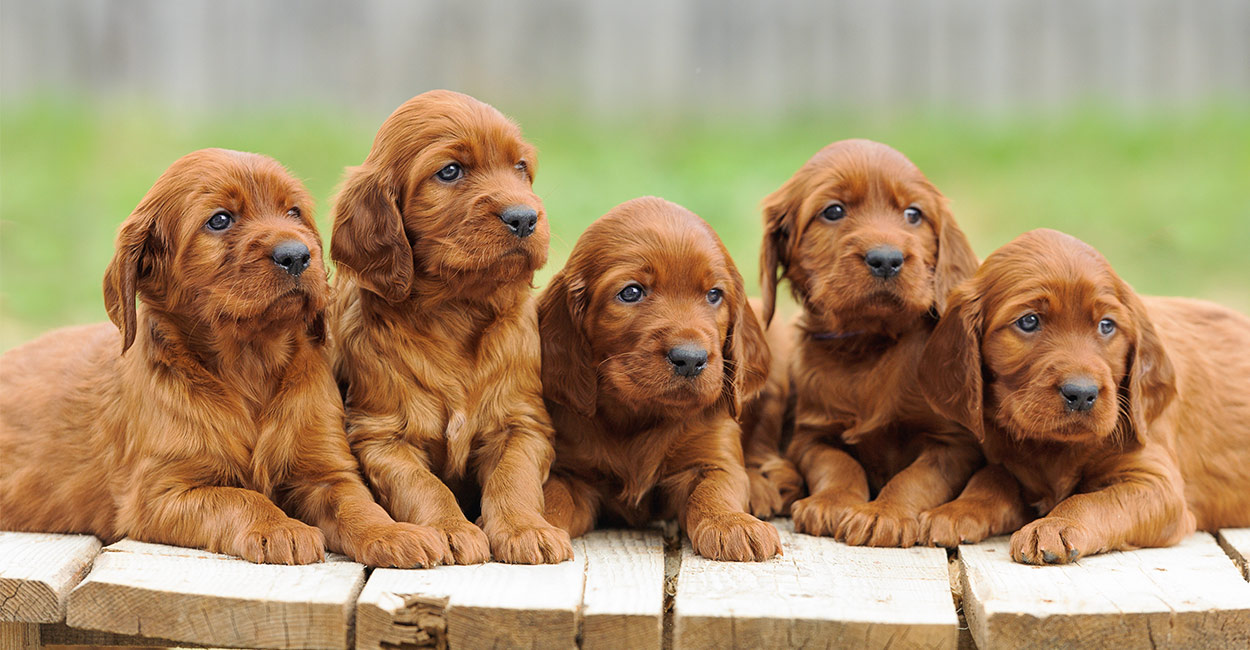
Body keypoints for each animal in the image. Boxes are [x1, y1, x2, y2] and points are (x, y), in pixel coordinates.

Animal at [0, 150, 437, 565]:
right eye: (220, 220)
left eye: (294, 212)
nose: (297, 255)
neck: (250, 364)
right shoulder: (162, 493)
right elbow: (239, 498)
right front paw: (280, 528)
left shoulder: (327, 470)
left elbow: (358, 505)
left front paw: (394, 534)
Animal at [327, 90, 572, 562]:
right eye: (450, 171)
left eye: (520, 167)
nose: (525, 218)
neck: (455, 311)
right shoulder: (381, 435)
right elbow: (424, 486)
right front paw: (451, 529)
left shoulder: (522, 423)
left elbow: (513, 478)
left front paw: (526, 528)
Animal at [540, 195, 780, 560]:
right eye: (631, 292)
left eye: (714, 295)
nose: (691, 359)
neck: (640, 416)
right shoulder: (570, 471)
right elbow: (553, 495)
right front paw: (535, 524)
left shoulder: (712, 458)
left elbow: (715, 490)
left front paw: (733, 523)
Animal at [760, 139, 985, 545]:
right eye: (833, 211)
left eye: (913, 214)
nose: (886, 259)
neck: (868, 344)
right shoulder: (811, 434)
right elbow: (837, 463)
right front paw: (831, 502)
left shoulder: (953, 442)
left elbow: (916, 477)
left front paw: (884, 513)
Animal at [920, 228, 1250, 562]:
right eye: (1029, 321)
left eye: (1106, 325)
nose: (1081, 394)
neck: (1053, 446)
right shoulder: (1007, 462)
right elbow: (990, 478)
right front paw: (954, 510)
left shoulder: (1157, 484)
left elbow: (1096, 501)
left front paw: (1055, 525)